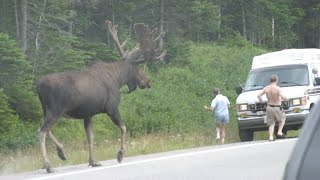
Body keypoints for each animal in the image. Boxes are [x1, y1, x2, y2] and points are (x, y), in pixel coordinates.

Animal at [37, 20, 166, 174]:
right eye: (139, 68)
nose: (148, 81)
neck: (118, 79)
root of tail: (38, 86)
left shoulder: (88, 115)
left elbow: (90, 137)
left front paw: (93, 161)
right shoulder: (112, 108)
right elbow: (124, 127)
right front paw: (121, 153)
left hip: (46, 110)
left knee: (43, 128)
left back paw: (60, 152)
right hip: (56, 110)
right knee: (42, 131)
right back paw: (48, 165)